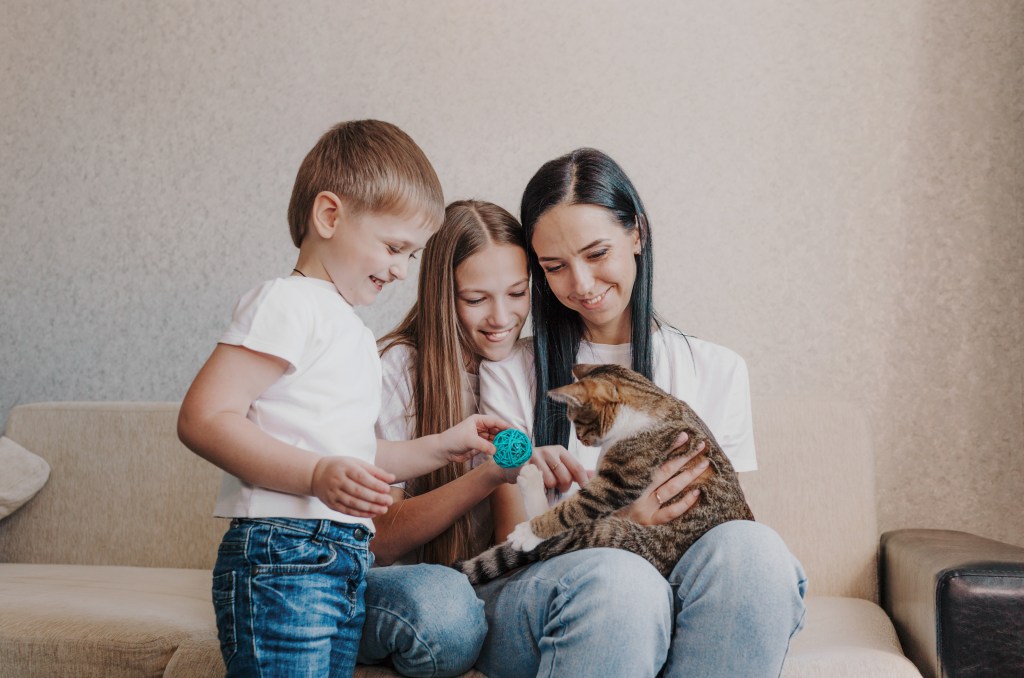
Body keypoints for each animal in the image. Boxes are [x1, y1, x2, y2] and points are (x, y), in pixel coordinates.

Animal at [454, 364, 753, 585]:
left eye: (578, 421)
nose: (579, 439)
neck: (648, 404)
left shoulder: (620, 480)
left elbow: (572, 508)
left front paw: (531, 530)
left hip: (628, 537)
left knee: (561, 541)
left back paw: (529, 492)